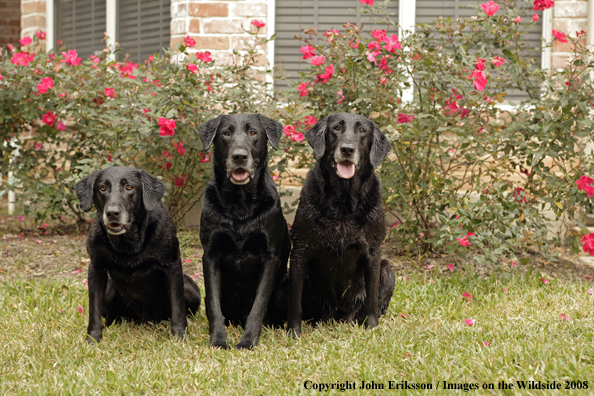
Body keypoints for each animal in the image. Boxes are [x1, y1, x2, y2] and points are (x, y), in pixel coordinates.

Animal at [73, 166, 199, 342]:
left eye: (129, 187)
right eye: (102, 188)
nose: (112, 213)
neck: (129, 242)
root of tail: (144, 320)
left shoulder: (172, 265)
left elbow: (177, 308)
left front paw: (180, 336)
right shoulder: (96, 268)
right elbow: (94, 311)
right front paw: (92, 339)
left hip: (191, 289)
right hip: (109, 291)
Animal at [199, 113, 290, 348]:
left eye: (253, 132)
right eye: (225, 133)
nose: (239, 156)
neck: (239, 205)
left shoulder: (270, 256)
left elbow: (258, 305)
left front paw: (248, 341)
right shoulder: (210, 254)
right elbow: (214, 305)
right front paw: (218, 341)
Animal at [286, 112, 394, 338]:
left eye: (362, 130)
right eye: (336, 128)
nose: (347, 149)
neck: (343, 200)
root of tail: (337, 315)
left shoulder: (373, 251)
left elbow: (371, 298)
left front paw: (372, 326)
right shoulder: (300, 250)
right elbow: (295, 302)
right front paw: (293, 332)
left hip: (387, 268)